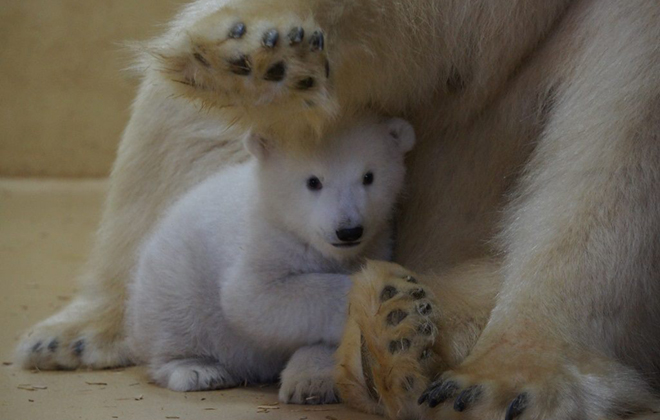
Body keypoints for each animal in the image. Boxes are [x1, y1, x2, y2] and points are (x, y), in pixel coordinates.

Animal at [16, 0, 660, 418]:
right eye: (313, 182)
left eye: (370, 177)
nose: (348, 230)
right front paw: (258, 46)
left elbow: (625, 110)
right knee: (175, 126)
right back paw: (80, 332)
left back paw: (456, 364)